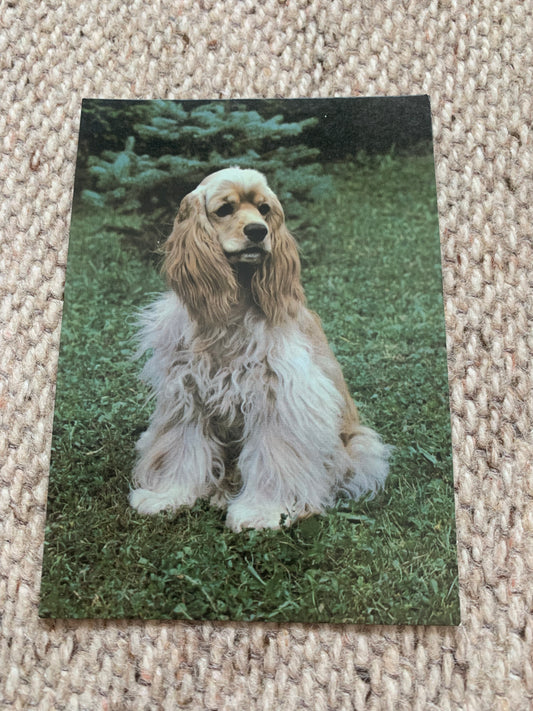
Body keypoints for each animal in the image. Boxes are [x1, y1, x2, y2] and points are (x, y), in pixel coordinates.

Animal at [129, 167, 386, 532]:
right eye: (225, 209)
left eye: (265, 209)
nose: (257, 231)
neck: (232, 307)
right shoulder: (186, 392)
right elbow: (181, 447)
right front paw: (167, 495)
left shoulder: (277, 394)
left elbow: (273, 454)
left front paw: (262, 512)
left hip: (356, 445)